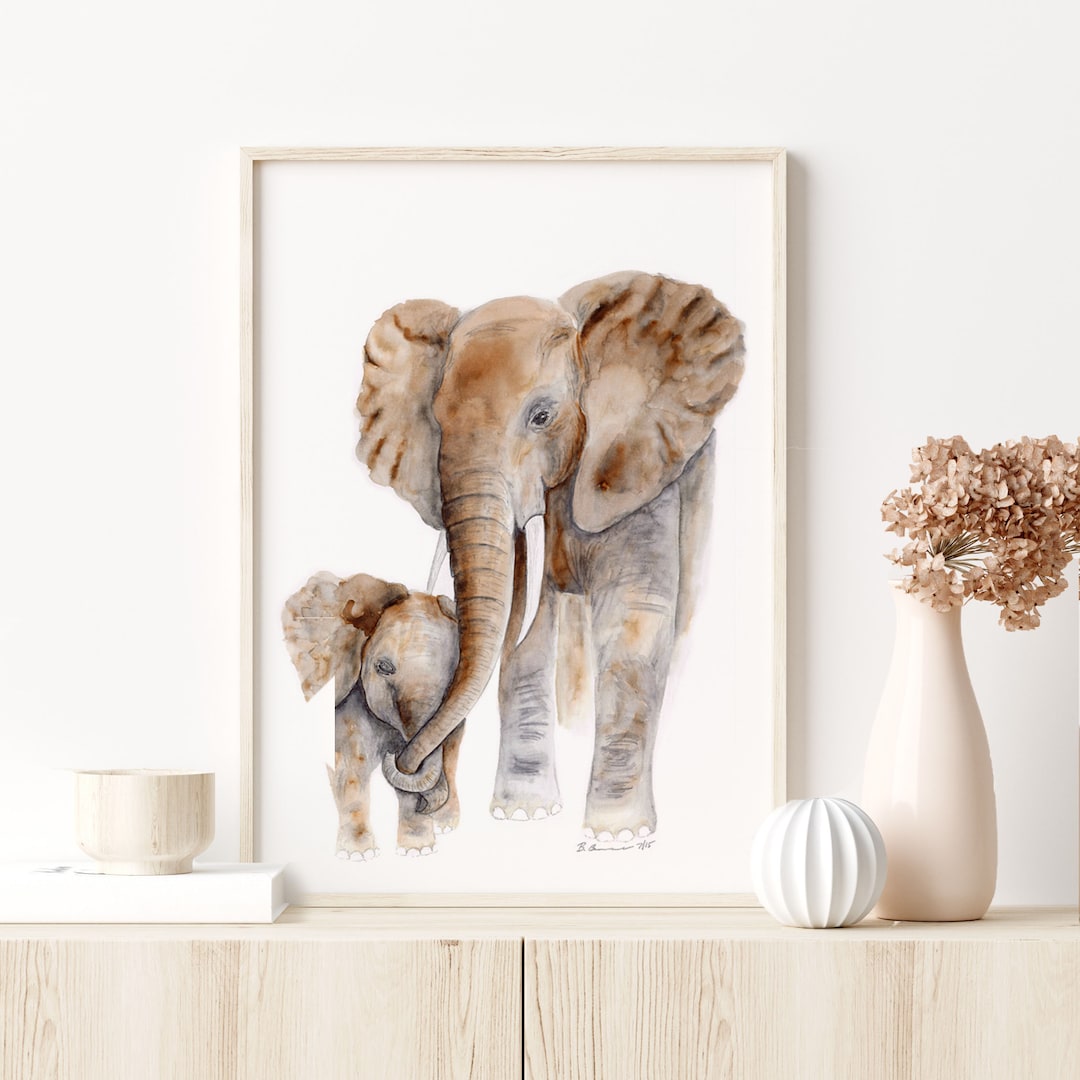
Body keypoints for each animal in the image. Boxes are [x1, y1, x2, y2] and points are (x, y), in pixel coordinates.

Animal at [281, 571, 462, 859]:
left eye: (454, 674)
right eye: (383, 667)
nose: (427, 806)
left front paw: (418, 850)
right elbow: (351, 762)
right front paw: (359, 855)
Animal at [357, 270, 745, 842]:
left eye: (542, 416)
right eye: (436, 421)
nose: (404, 764)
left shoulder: (644, 468)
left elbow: (635, 618)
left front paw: (617, 835)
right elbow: (523, 628)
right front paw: (524, 815)